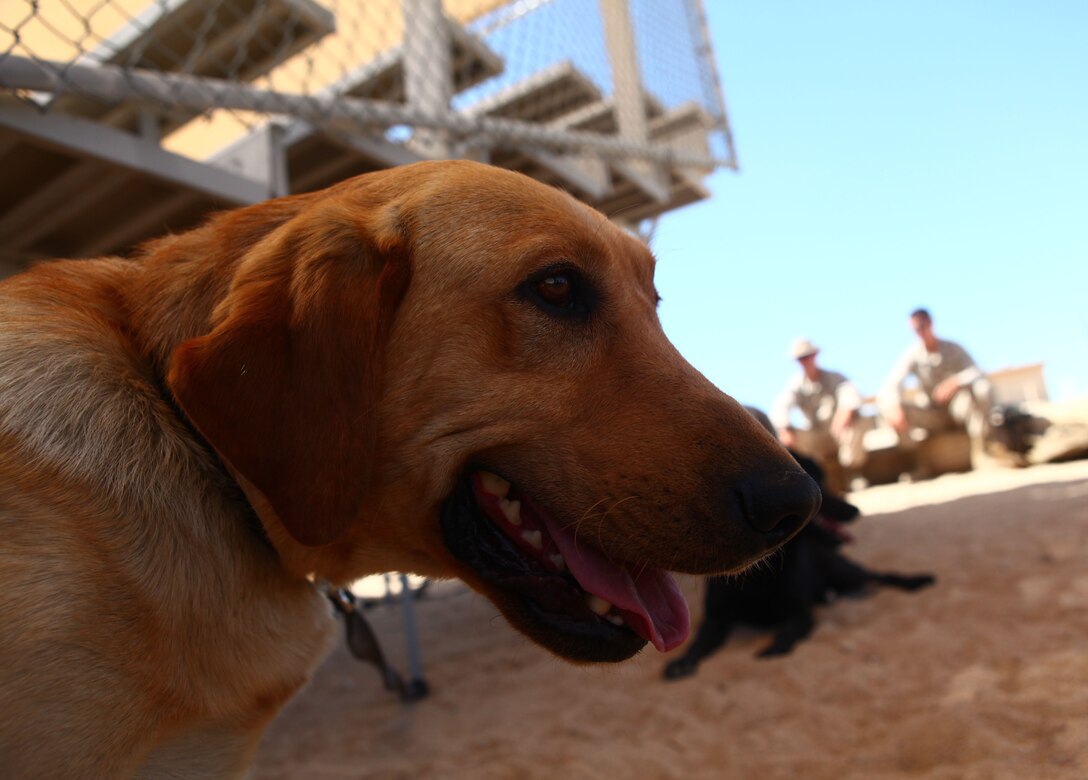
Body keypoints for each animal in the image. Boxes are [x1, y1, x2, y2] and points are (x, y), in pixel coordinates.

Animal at [661, 452, 935, 678]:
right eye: (821, 484)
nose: (855, 509)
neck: (760, 577)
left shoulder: (800, 614)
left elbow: (785, 633)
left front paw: (773, 649)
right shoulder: (715, 619)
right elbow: (699, 641)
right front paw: (682, 662)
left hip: (847, 574)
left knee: (881, 574)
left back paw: (917, 581)